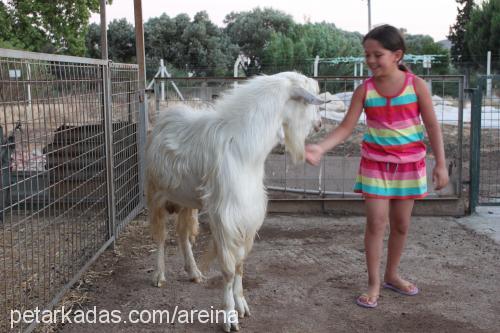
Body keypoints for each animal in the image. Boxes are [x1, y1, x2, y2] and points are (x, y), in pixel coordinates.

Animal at [146, 70, 324, 330]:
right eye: (308, 101)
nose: (320, 124)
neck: (244, 144)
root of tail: (164, 117)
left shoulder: (247, 214)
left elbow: (240, 264)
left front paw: (242, 306)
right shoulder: (225, 217)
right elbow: (229, 269)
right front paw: (229, 316)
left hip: (187, 200)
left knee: (182, 234)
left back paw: (194, 272)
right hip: (155, 194)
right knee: (160, 236)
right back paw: (159, 276)